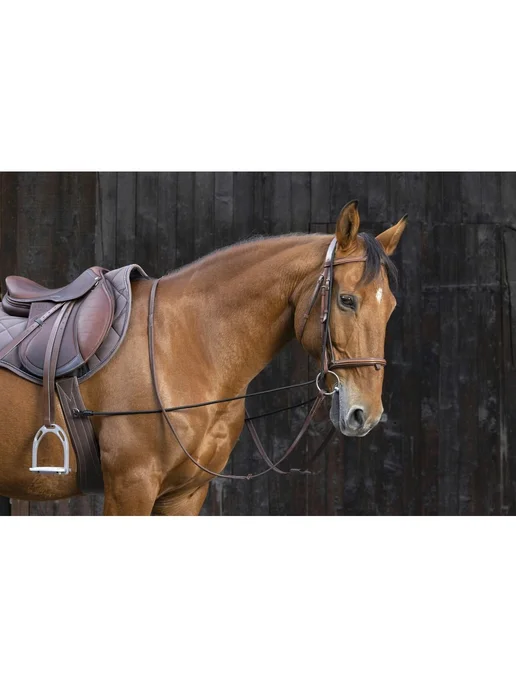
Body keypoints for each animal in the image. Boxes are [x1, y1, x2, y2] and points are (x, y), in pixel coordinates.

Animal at [0, 200, 406, 515]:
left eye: (390, 307)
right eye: (347, 300)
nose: (365, 414)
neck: (188, 345)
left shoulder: (185, 495)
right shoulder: (131, 486)